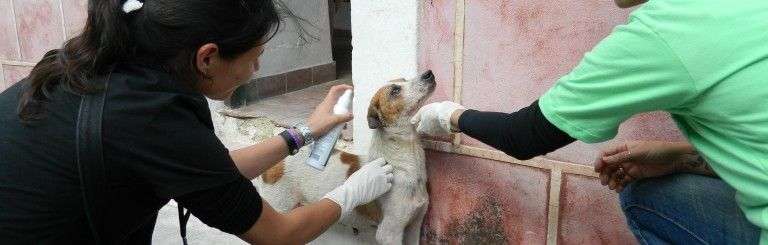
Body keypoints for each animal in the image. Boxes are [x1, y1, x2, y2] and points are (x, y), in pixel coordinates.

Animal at [260, 70, 436, 244]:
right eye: (395, 91)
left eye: (404, 79)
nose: (429, 73)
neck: (406, 162)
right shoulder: (389, 232)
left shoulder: (414, 226)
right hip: (279, 210)